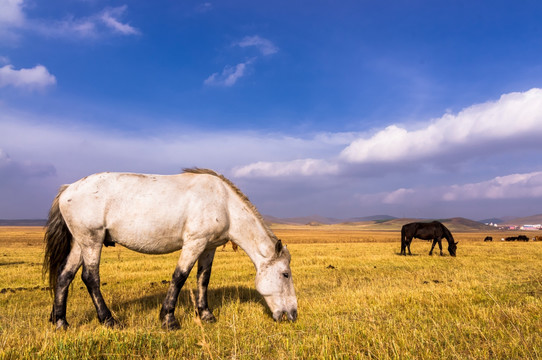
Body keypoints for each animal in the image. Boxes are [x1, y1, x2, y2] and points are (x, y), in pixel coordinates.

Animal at [43, 168, 300, 330]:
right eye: (285, 274)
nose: (293, 314)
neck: (224, 203)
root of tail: (68, 189)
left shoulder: (208, 247)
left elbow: (203, 279)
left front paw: (206, 315)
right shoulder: (194, 243)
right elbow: (180, 277)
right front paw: (169, 320)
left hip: (81, 243)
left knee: (65, 276)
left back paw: (61, 322)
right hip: (92, 241)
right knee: (90, 278)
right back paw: (109, 320)